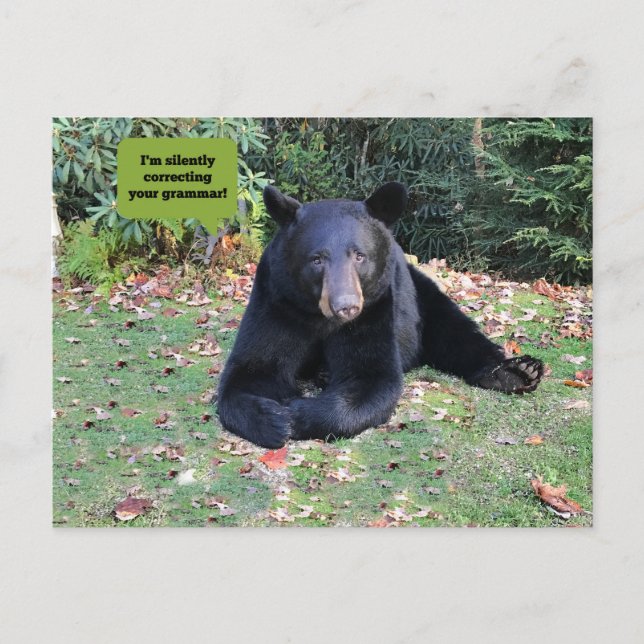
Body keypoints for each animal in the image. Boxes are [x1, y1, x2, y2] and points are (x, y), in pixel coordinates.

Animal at [217, 182, 543, 449]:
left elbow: (372, 378)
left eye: (360, 255)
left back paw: (517, 371)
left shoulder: (374, 310)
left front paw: (296, 413)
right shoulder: (278, 302)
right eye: (316, 259)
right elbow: (253, 369)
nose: (345, 306)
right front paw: (274, 418)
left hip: (419, 297)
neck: (322, 319)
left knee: (454, 329)